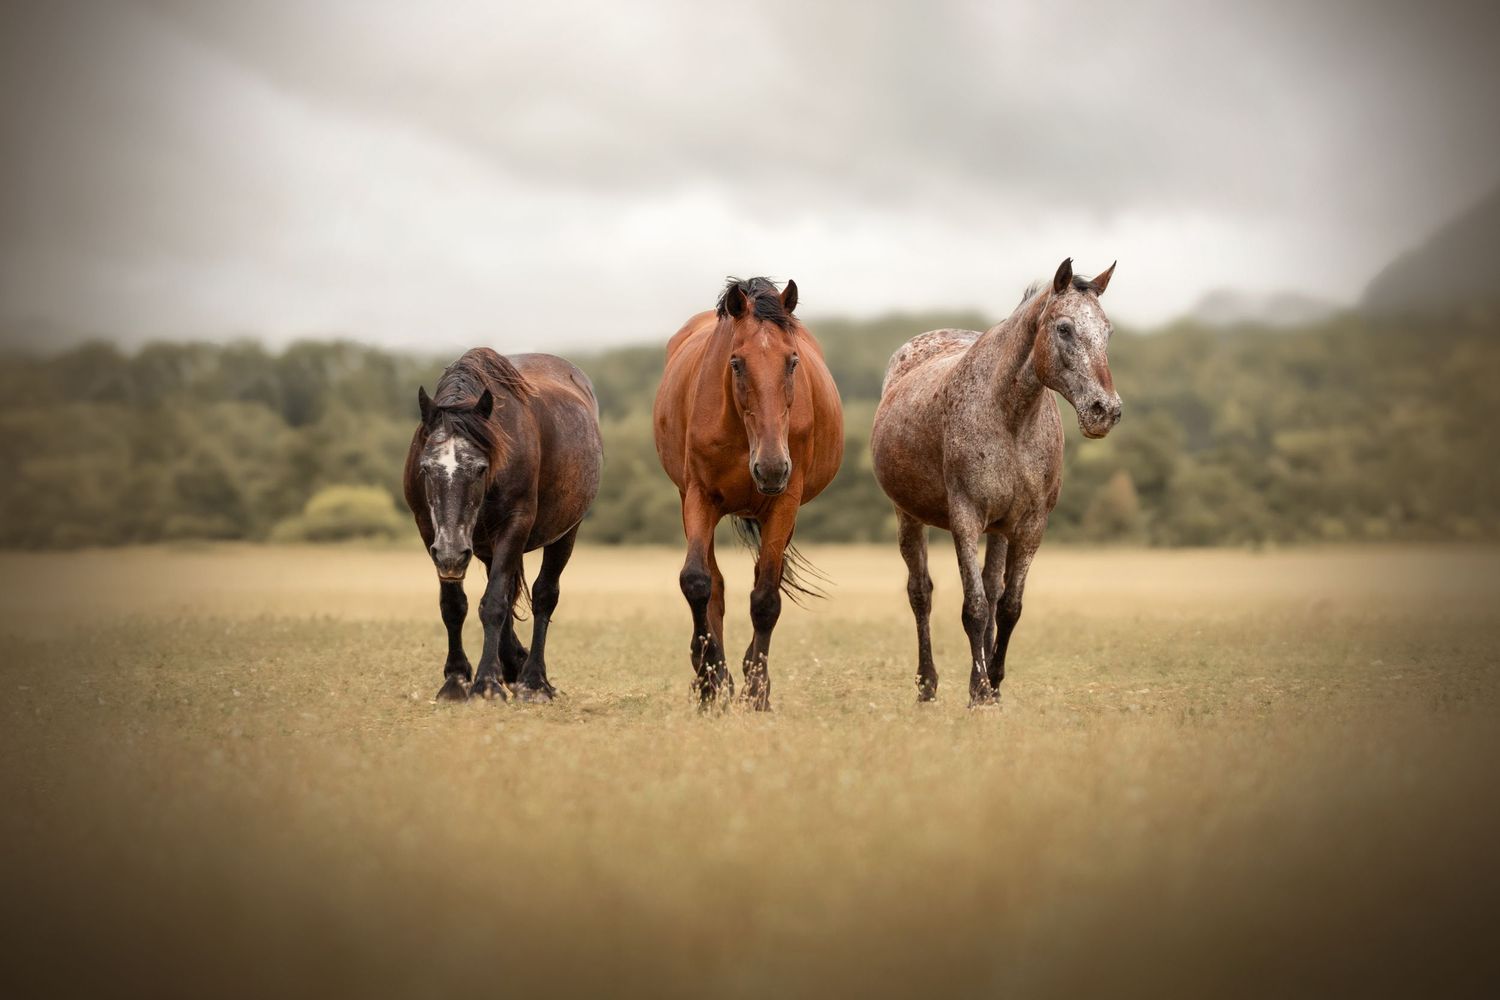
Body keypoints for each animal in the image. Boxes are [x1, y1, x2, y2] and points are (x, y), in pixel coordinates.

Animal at [403, 348, 602, 703]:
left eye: (480, 469)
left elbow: (494, 602)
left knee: (544, 595)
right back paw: (513, 665)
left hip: (564, 534)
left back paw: (534, 680)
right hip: (483, 547)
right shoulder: (430, 531)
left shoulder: (514, 525)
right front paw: (456, 680)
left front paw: (486, 683)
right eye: (426, 469)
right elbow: (455, 605)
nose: (452, 554)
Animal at [653, 277, 844, 710]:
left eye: (793, 361)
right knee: (715, 585)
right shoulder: (698, 497)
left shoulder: (784, 503)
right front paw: (709, 680)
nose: (771, 467)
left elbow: (766, 597)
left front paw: (757, 691)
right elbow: (698, 583)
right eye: (736, 362)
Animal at [870, 258, 1121, 706]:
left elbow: (1007, 606)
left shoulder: (1029, 525)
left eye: (1107, 330)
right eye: (1064, 328)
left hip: (1000, 529)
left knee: (990, 590)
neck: (1010, 419)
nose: (1104, 410)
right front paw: (981, 690)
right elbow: (973, 608)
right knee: (920, 593)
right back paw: (927, 685)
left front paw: (991, 686)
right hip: (907, 517)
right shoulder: (966, 519)